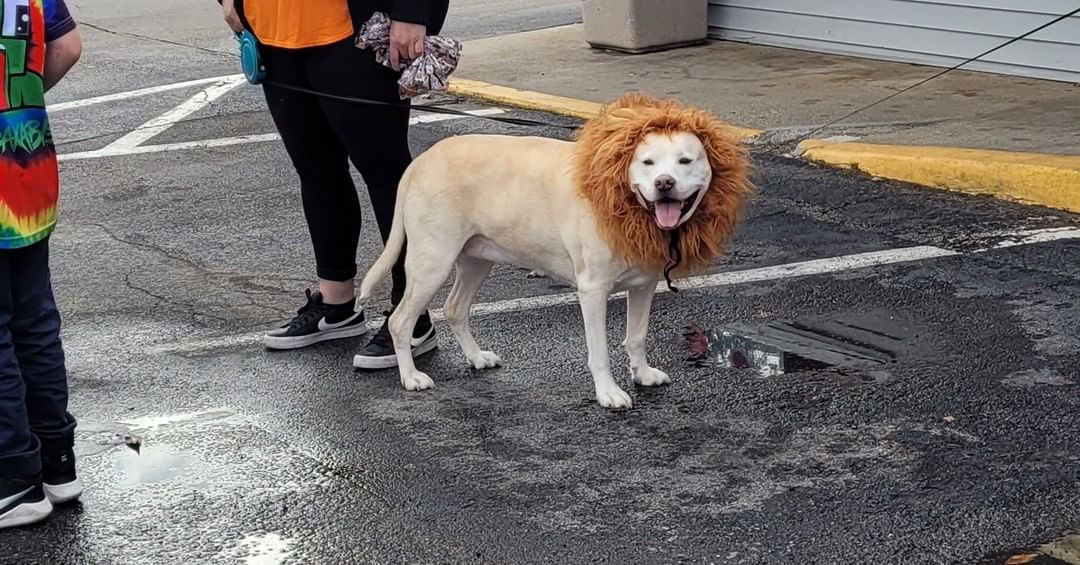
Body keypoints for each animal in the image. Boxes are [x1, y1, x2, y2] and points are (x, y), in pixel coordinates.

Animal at [354, 93, 751, 410]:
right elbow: (599, 350)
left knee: (454, 309)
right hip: (432, 261)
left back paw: (476, 357)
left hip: (475, 259)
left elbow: (636, 336)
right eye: (647, 163)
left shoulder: (644, 285)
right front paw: (608, 393)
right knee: (400, 321)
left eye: (685, 161)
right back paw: (411, 377)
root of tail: (420, 162)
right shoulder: (592, 290)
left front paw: (643, 374)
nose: (664, 184)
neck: (625, 203)